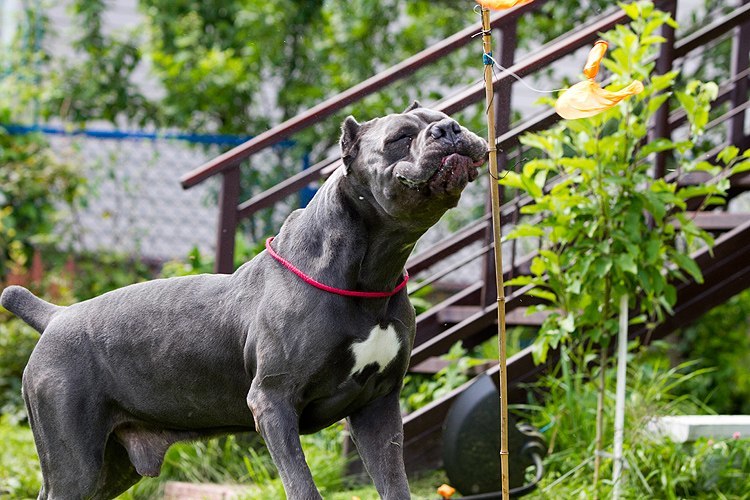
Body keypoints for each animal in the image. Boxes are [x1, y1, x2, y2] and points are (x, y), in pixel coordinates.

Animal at [1, 102, 488, 500]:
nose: (449, 128)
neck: (371, 276)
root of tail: (57, 316)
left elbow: (394, 485)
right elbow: (303, 486)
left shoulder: (379, 406)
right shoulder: (273, 402)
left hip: (112, 466)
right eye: (401, 137)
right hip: (75, 463)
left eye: (445, 118)